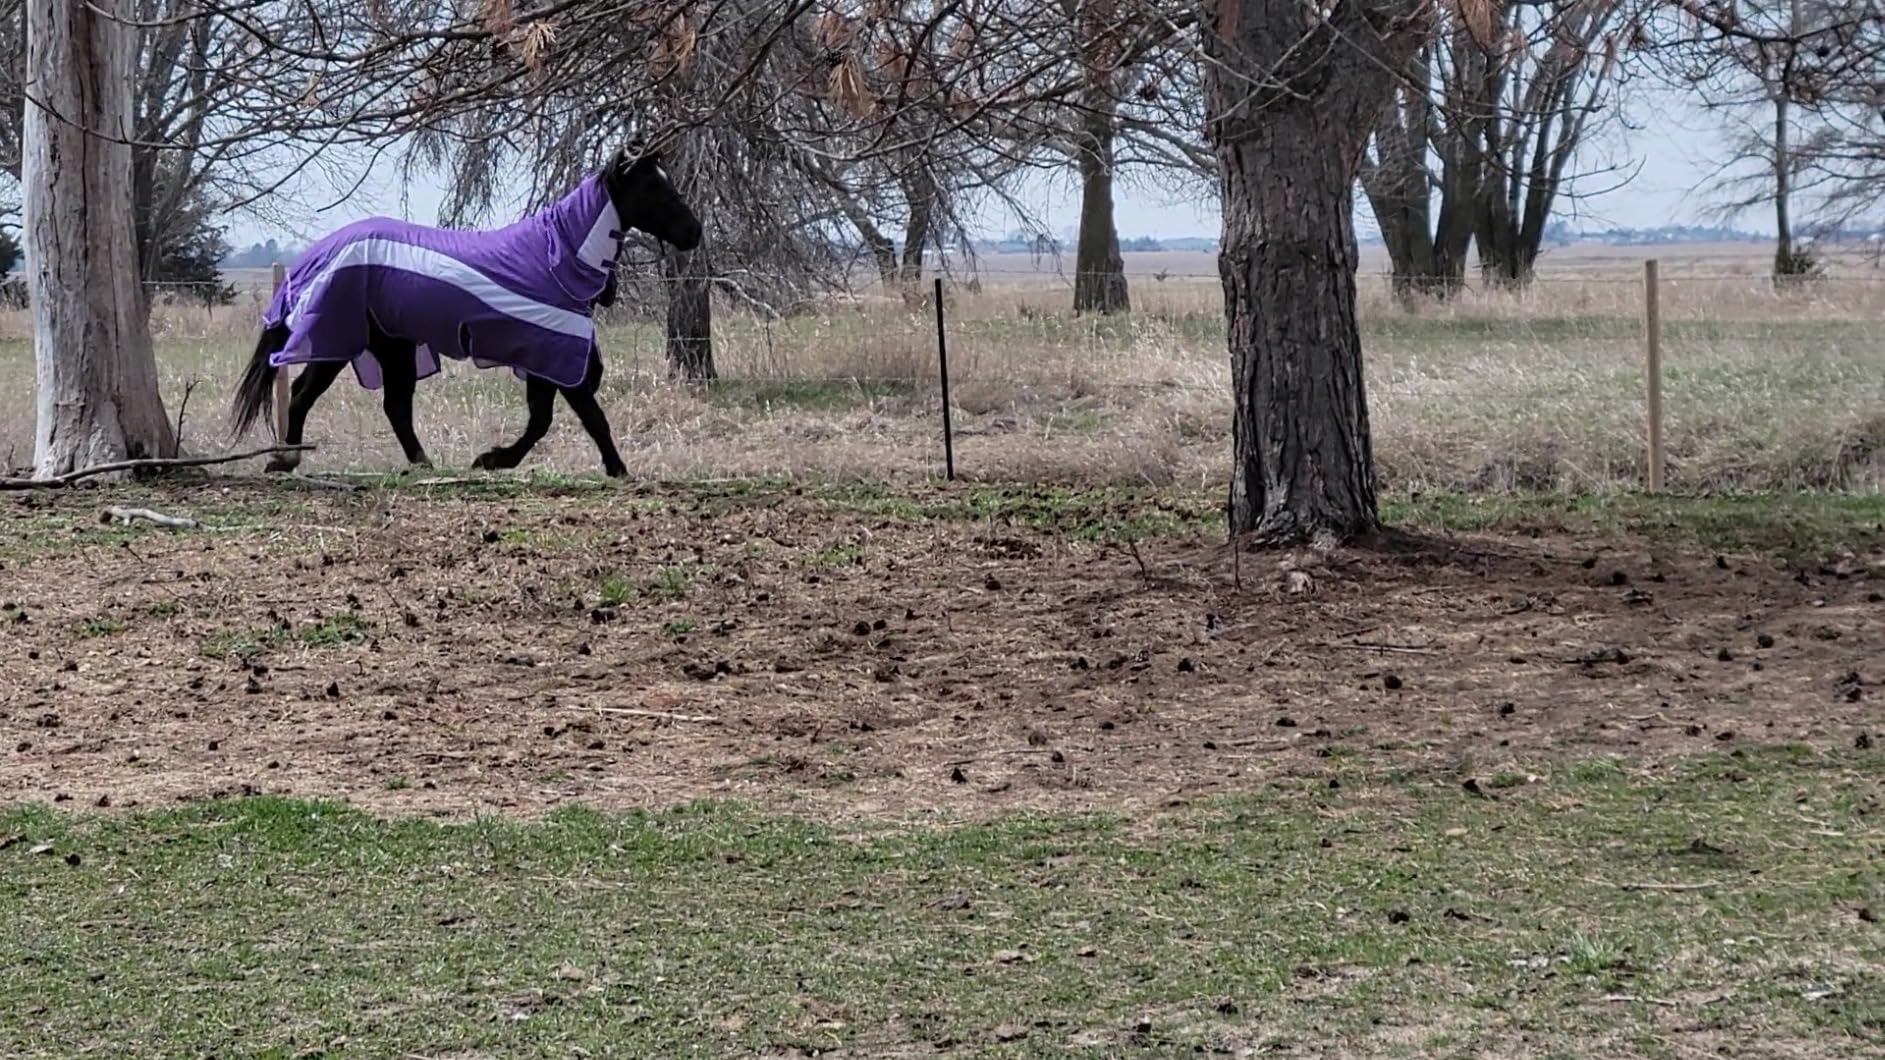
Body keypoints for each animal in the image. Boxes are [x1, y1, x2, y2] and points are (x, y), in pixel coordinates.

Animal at [229, 147, 702, 477]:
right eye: (652, 188)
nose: (694, 233)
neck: (556, 261)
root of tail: (317, 255)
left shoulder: (548, 359)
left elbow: (543, 420)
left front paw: (494, 459)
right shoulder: (555, 356)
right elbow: (585, 417)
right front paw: (616, 469)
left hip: (391, 347)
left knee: (389, 405)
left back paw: (419, 463)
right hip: (344, 341)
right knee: (306, 395)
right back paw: (287, 460)